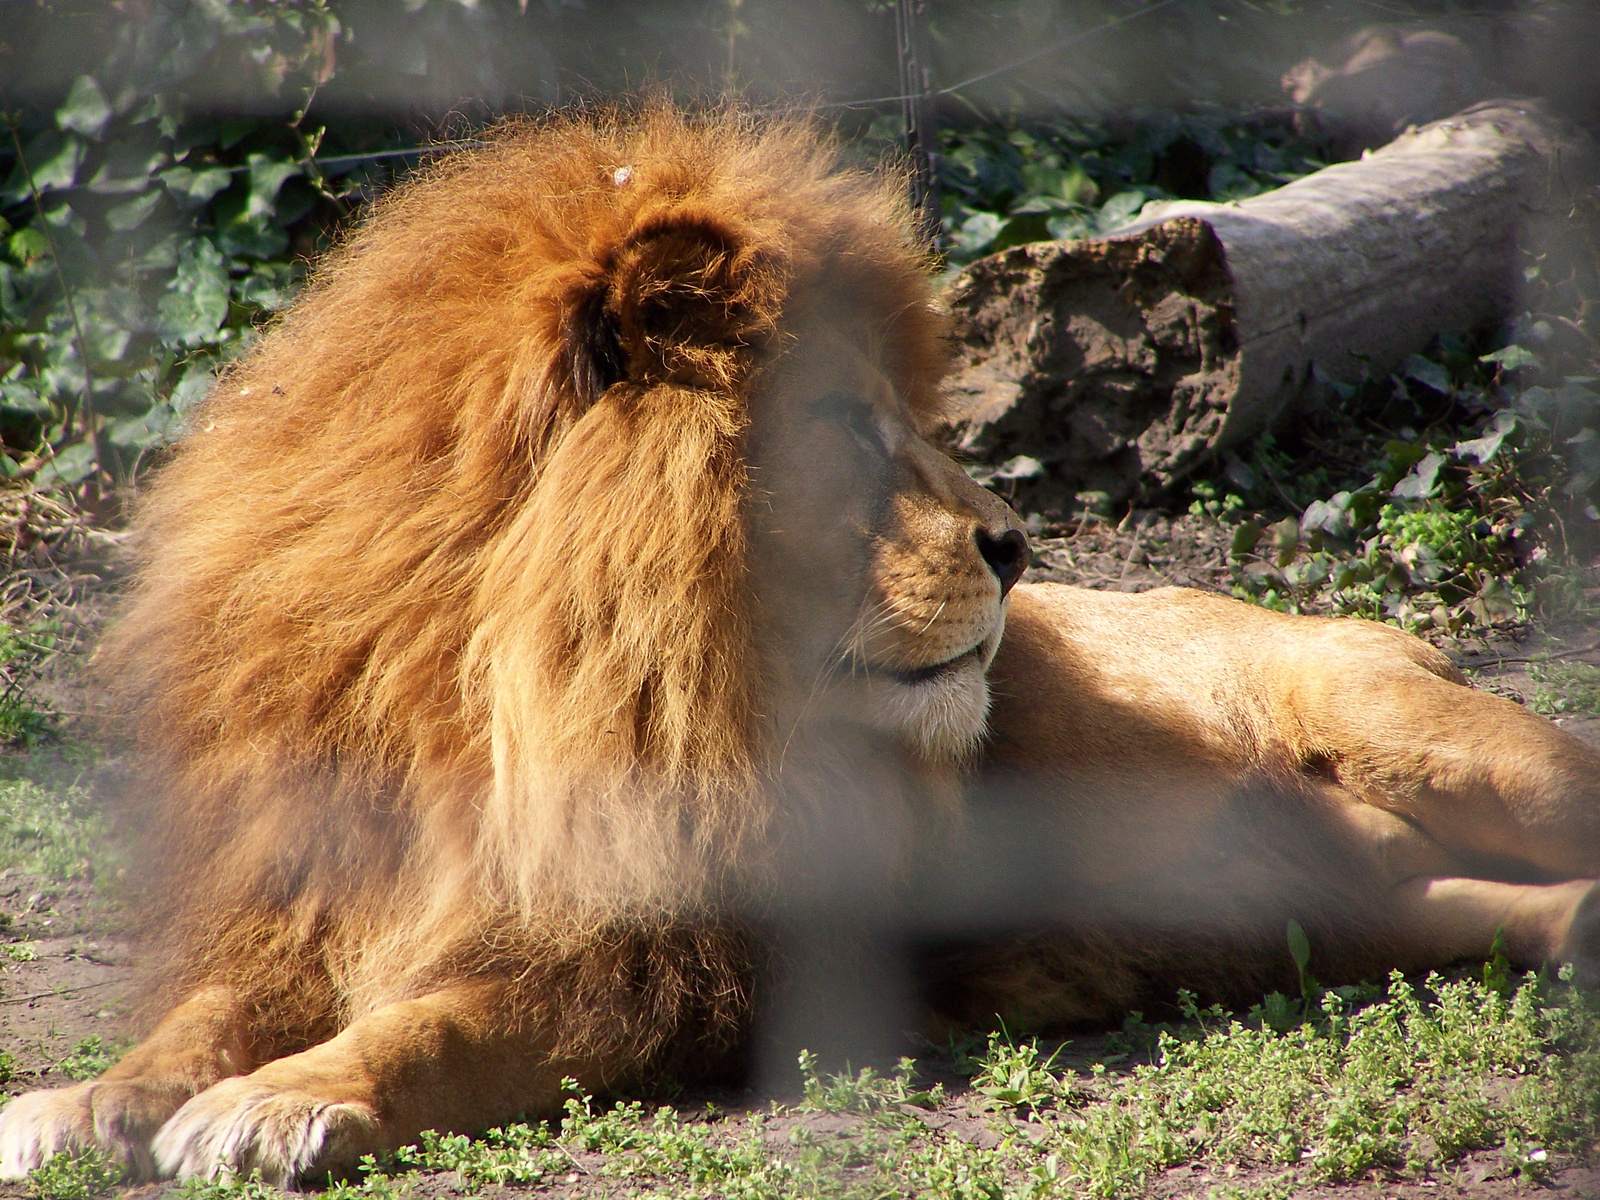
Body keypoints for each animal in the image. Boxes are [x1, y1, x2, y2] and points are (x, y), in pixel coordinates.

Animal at [3, 105, 1600, 1196]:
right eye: (842, 429)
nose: (1018, 549)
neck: (488, 688)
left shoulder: (677, 962)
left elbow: (440, 1026)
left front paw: (274, 1102)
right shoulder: (321, 894)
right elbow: (203, 1013)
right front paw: (86, 1102)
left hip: (1417, 727)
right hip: (1378, 912)